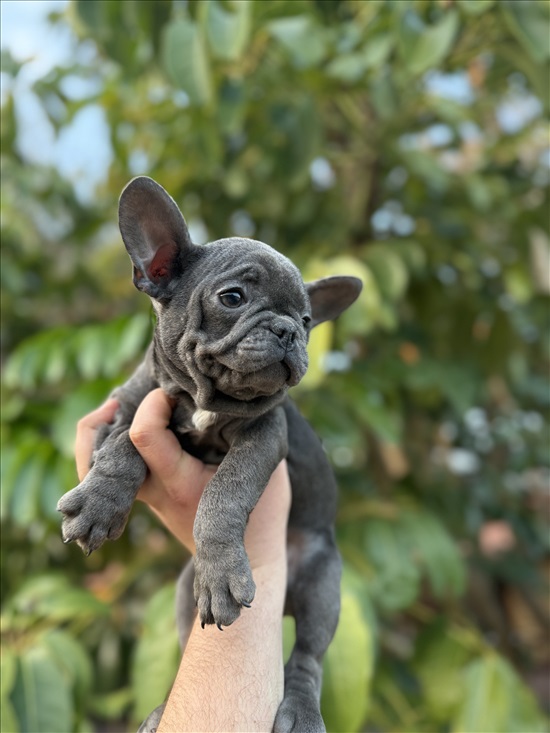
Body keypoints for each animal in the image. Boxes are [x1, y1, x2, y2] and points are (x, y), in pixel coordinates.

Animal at [58, 177, 364, 732]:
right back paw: (162, 711)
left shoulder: (265, 436)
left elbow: (227, 489)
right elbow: (122, 443)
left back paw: (302, 711)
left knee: (308, 656)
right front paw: (99, 502)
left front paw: (220, 568)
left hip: (323, 584)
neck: (205, 397)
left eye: (309, 319)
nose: (290, 329)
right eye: (233, 297)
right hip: (184, 591)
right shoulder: (128, 406)